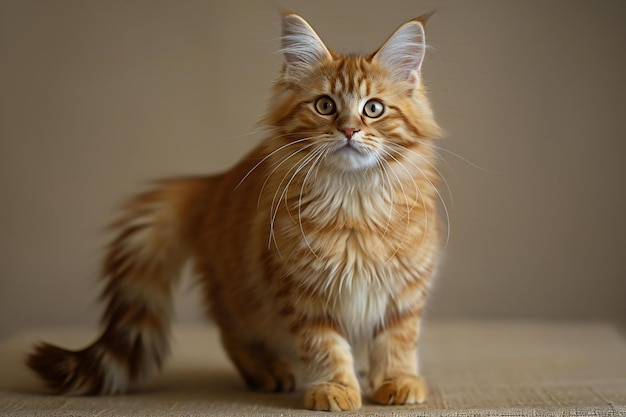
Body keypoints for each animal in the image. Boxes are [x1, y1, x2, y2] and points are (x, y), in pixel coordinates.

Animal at [26, 12, 442, 410]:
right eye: (325, 106)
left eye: (373, 109)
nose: (350, 131)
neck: (356, 199)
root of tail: (213, 182)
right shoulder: (303, 292)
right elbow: (325, 347)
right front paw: (334, 388)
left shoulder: (406, 290)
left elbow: (397, 342)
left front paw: (397, 381)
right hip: (240, 298)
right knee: (232, 335)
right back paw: (271, 372)